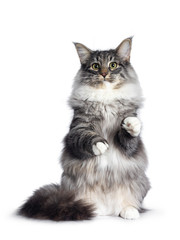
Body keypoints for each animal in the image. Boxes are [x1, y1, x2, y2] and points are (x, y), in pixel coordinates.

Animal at [18, 38, 150, 221]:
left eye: (113, 65)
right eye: (95, 66)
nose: (104, 74)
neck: (106, 98)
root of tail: (107, 210)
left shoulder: (129, 146)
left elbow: (129, 136)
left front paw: (132, 124)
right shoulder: (77, 128)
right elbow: (86, 136)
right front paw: (100, 145)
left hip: (140, 183)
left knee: (128, 204)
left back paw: (128, 211)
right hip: (72, 186)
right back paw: (93, 209)